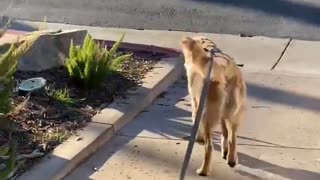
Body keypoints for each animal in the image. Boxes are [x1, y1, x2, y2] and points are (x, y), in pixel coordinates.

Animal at [180, 36, 248, 176]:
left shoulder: (195, 102)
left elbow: (195, 121)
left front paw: (198, 138)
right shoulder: (223, 115)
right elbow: (225, 133)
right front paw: (225, 150)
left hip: (208, 116)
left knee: (209, 147)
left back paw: (203, 170)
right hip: (234, 114)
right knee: (233, 138)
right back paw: (231, 160)